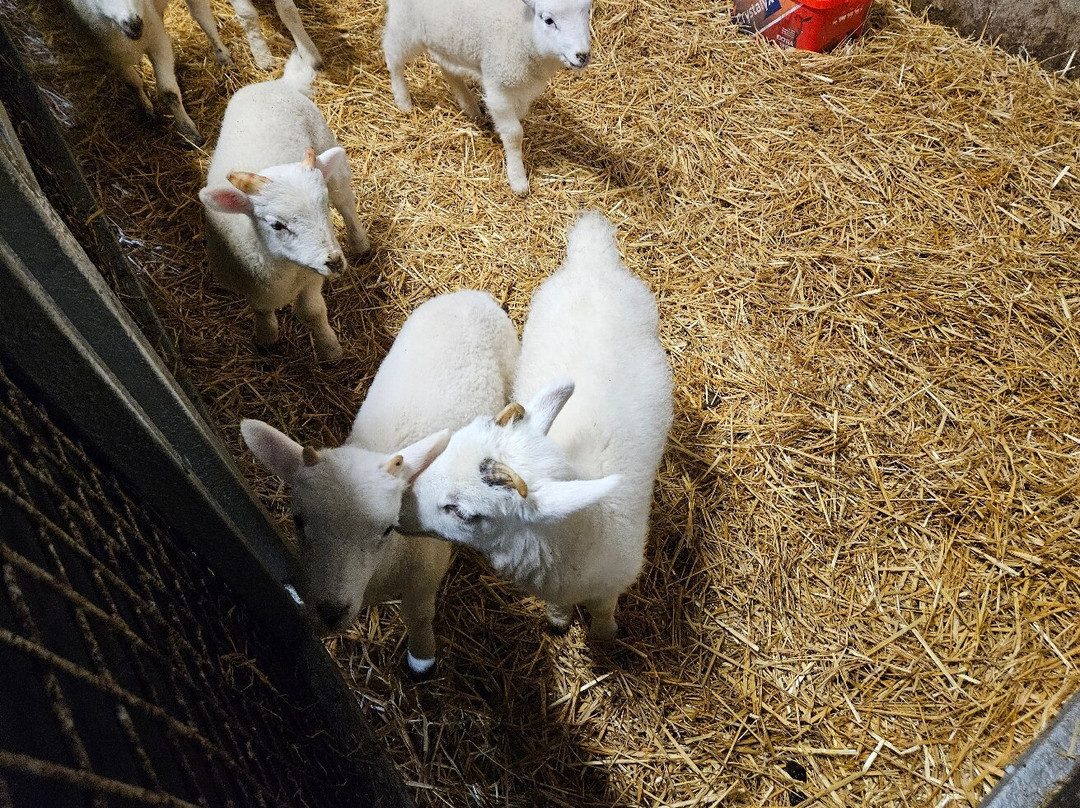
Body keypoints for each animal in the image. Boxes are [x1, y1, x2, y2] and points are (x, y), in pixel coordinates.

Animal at [61, 0, 230, 145]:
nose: (135, 24)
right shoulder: (113, 56)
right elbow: (132, 84)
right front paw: (145, 109)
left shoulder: (158, 42)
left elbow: (169, 92)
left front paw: (188, 133)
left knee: (201, 14)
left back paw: (223, 55)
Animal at [199, 52, 369, 363]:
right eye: (277, 224)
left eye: (323, 207)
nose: (335, 262)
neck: (283, 271)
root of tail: (276, 83)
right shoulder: (250, 287)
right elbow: (261, 309)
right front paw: (267, 338)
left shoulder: (311, 278)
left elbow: (312, 313)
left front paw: (330, 350)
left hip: (328, 153)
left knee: (346, 202)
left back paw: (360, 244)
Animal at [242, 290, 520, 675]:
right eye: (297, 521)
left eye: (388, 528)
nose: (331, 612)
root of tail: (472, 294)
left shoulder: (424, 575)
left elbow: (419, 618)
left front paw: (422, 659)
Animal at [382, 0, 593, 195]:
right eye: (548, 20)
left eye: (587, 13)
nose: (582, 55)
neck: (523, 31)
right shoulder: (498, 88)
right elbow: (514, 133)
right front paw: (517, 179)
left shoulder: (521, 89)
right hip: (405, 24)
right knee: (392, 55)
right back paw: (403, 101)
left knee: (447, 69)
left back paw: (469, 107)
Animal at [409, 212, 673, 640]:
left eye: (463, 513)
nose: (399, 507)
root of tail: (591, 261)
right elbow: (560, 609)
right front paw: (559, 622)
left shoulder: (612, 584)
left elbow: (604, 610)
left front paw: (604, 636)